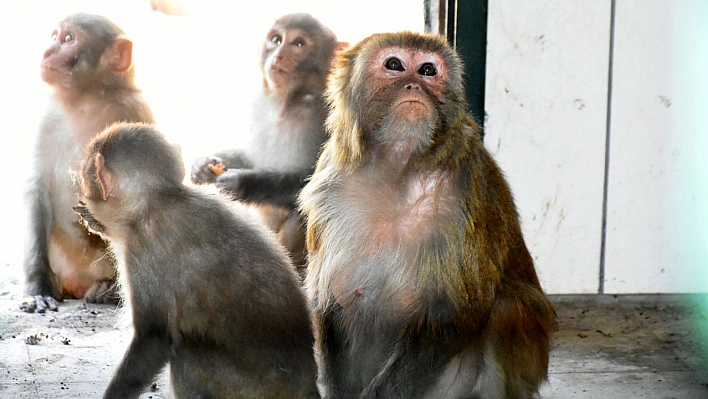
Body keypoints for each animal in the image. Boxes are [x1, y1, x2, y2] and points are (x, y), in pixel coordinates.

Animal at [22, 12, 154, 312]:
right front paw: (38, 287)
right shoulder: (47, 119)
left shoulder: (134, 110)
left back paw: (110, 289)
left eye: (69, 39)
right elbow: (36, 191)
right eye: (54, 35)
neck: (85, 102)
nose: (47, 51)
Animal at [74, 122, 318, 399]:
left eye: (86, 178)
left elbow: (154, 337)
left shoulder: (144, 251)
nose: (81, 190)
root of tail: (306, 387)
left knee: (187, 354)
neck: (158, 204)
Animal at [191, 12, 340, 268]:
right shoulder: (260, 105)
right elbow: (251, 157)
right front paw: (204, 166)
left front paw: (242, 183)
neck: (286, 103)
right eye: (276, 40)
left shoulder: (321, 115)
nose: (278, 55)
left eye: (298, 43)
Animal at [298, 31, 552, 399]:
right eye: (394, 65)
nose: (414, 85)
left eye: (428, 70)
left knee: (508, 305)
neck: (397, 170)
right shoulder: (330, 187)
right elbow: (335, 298)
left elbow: (457, 310)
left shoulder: (461, 190)